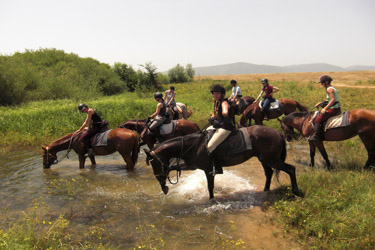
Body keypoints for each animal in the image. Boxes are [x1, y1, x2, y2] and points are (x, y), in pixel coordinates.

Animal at [143, 126, 302, 200]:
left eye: (155, 164)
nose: (158, 177)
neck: (194, 145)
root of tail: (278, 133)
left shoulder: (208, 169)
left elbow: (210, 187)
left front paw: (211, 200)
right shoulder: (192, 165)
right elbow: (174, 167)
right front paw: (165, 186)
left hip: (271, 159)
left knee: (291, 169)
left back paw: (296, 191)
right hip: (264, 159)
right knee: (269, 173)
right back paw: (265, 191)